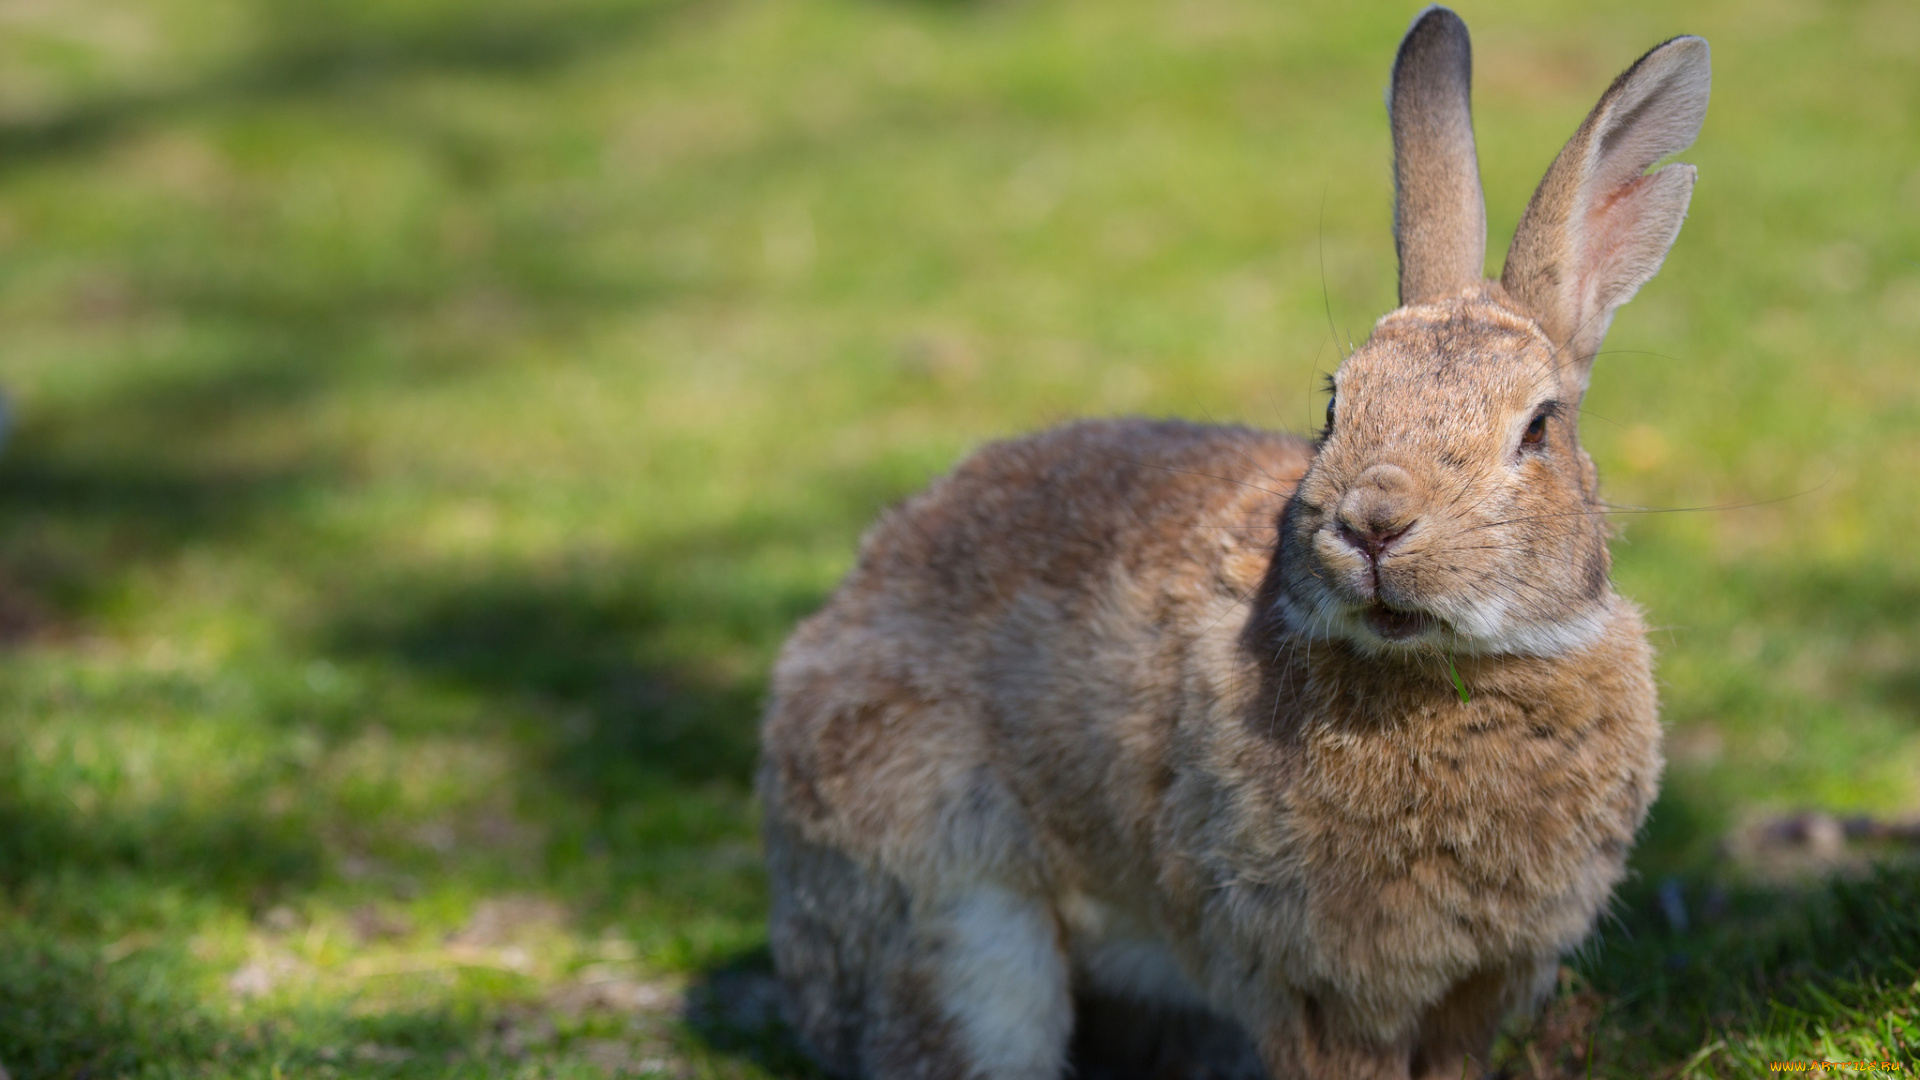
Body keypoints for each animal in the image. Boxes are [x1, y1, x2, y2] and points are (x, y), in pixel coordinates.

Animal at [756, 10, 1704, 1076]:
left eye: (1537, 429)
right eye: (1335, 404)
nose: (1373, 523)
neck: (1446, 676)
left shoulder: (1479, 984)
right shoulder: (1314, 985)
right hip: (966, 934)